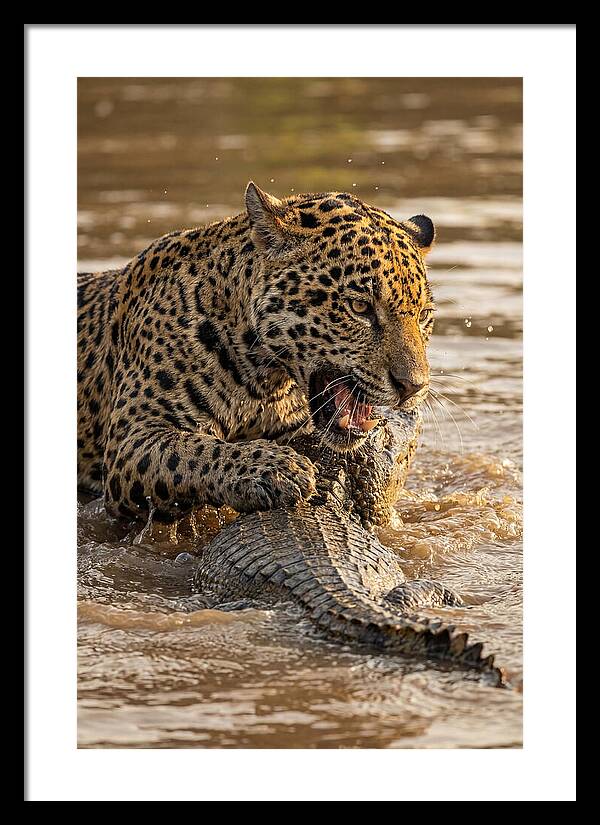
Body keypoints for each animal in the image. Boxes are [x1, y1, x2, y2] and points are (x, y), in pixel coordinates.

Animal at [77, 182, 436, 521]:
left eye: (423, 315)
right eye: (360, 307)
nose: (413, 387)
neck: (264, 380)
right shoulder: (133, 438)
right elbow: (192, 450)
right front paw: (275, 469)